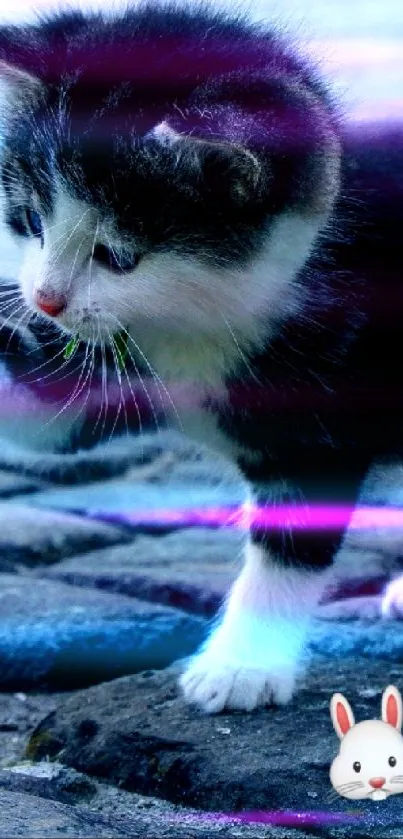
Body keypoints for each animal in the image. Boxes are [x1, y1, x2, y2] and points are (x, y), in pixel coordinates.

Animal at [0, 3, 402, 716]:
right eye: (29, 221)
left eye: (119, 256)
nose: (45, 300)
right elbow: (42, 425)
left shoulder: (328, 408)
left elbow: (291, 543)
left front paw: (243, 665)